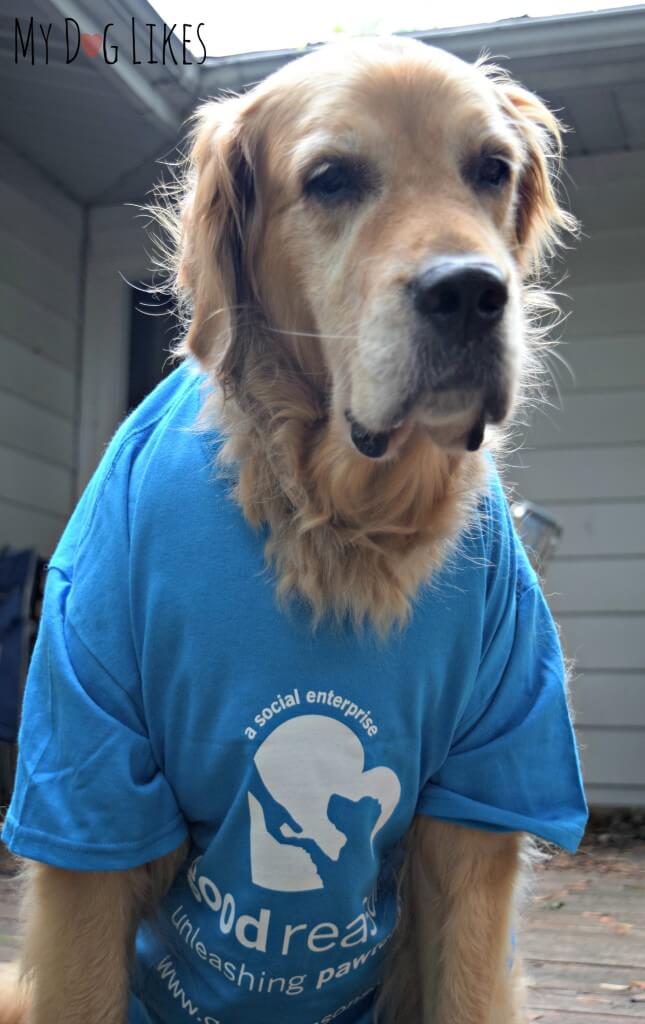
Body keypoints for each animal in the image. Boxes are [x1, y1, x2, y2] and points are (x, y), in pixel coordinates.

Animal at [1, 34, 585, 1024]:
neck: (337, 514)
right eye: (330, 179)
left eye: (491, 170)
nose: (471, 293)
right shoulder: (88, 802)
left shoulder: (479, 821)